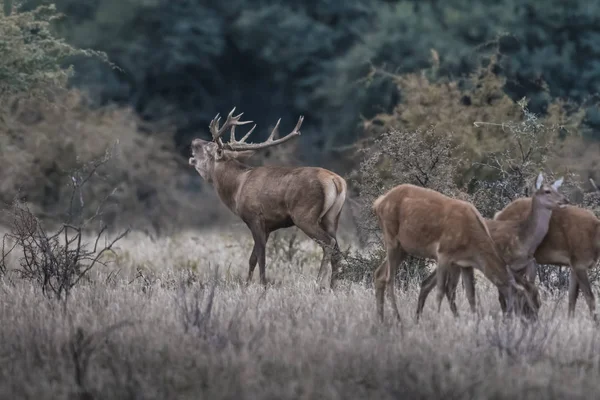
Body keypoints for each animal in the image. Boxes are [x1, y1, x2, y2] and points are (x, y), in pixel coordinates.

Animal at [188, 107, 346, 288]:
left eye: (209, 147)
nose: (194, 140)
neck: (236, 189)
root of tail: (337, 181)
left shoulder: (255, 217)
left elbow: (261, 257)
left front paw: (262, 285)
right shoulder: (268, 226)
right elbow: (253, 258)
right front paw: (247, 284)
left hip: (305, 216)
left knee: (329, 243)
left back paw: (318, 282)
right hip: (332, 217)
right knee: (337, 249)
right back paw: (333, 286)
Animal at [372, 183, 540, 324]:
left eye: (538, 300)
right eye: (523, 300)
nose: (531, 322)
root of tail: (378, 203)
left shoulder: (465, 263)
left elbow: (471, 295)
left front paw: (475, 322)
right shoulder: (443, 253)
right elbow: (440, 291)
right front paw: (437, 320)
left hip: (403, 248)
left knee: (379, 274)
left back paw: (380, 320)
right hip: (391, 239)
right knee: (389, 278)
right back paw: (397, 318)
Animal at [418, 172, 568, 318]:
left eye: (558, 189)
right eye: (547, 191)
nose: (565, 200)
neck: (523, 238)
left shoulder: (524, 265)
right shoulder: (505, 262)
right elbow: (505, 296)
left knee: (429, 284)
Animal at [492, 177, 600, 318]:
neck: (594, 236)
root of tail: (498, 214)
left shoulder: (573, 265)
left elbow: (572, 298)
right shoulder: (580, 263)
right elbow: (590, 298)